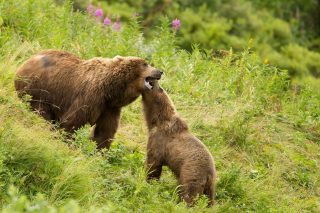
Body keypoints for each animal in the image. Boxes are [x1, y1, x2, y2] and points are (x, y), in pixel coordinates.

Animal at [14, 50, 162, 150]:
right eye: (145, 64)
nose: (160, 71)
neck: (111, 90)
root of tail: (23, 64)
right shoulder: (90, 97)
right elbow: (73, 121)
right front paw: (67, 142)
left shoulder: (109, 108)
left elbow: (105, 132)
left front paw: (99, 152)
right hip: (39, 89)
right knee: (41, 113)